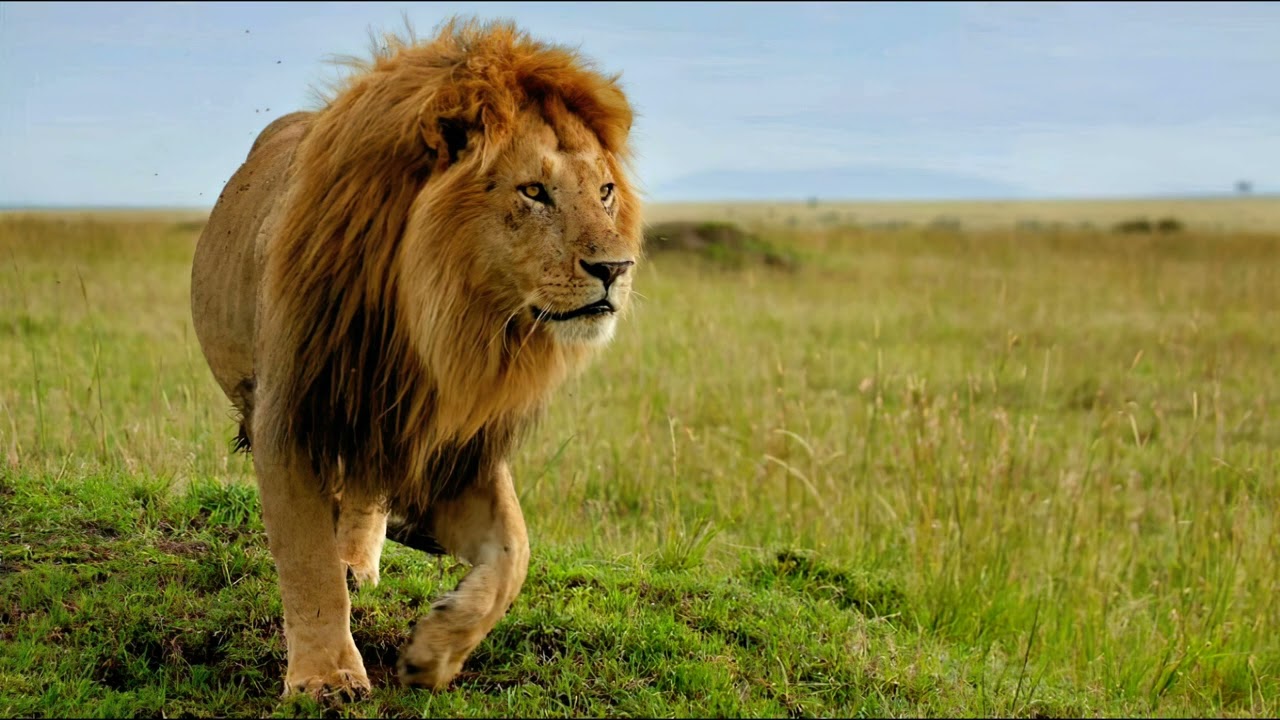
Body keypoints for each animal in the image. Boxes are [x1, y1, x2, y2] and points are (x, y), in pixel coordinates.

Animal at [189, 18, 642, 699]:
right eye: (534, 191)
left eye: (607, 192)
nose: (615, 269)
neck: (438, 325)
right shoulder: (292, 415)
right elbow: (307, 560)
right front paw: (326, 679)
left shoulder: (454, 442)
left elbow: (515, 551)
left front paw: (435, 651)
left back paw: (362, 560)